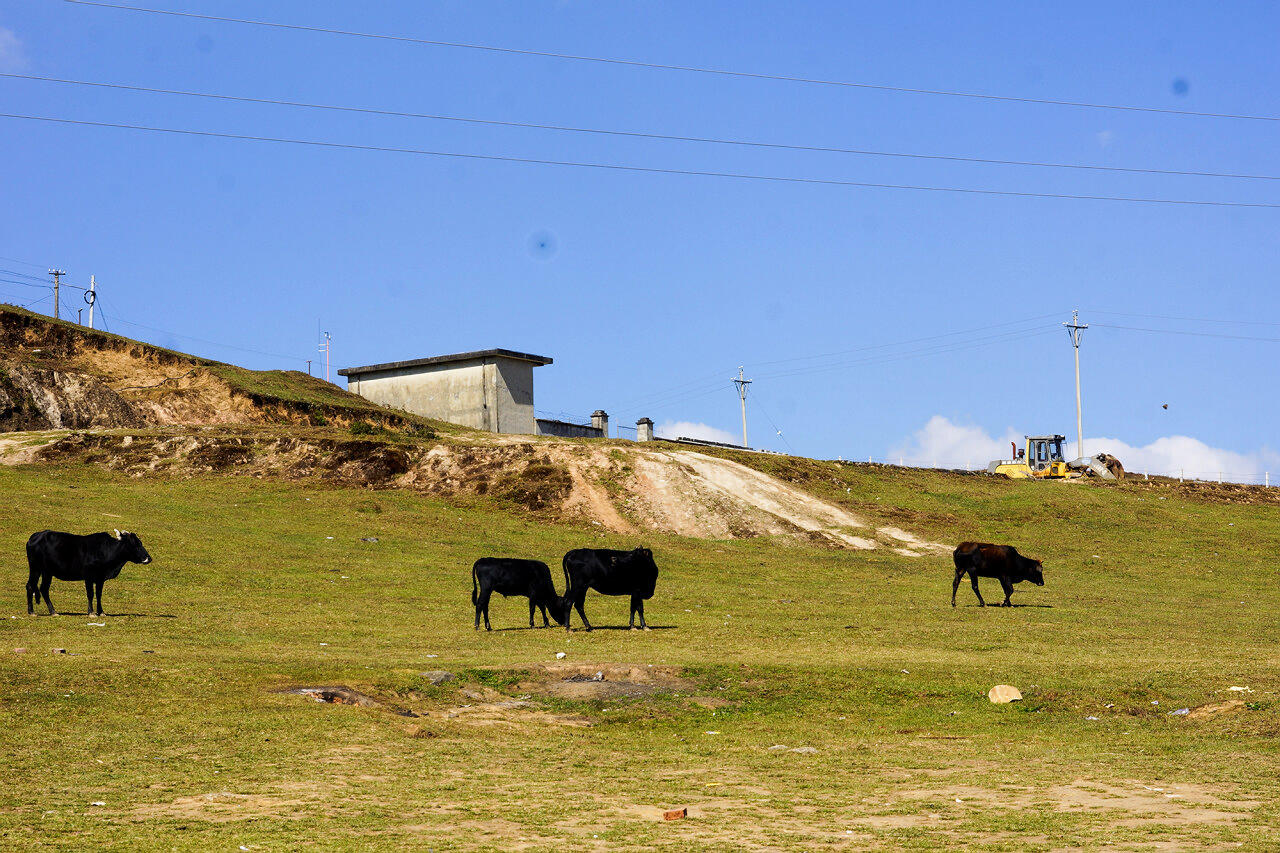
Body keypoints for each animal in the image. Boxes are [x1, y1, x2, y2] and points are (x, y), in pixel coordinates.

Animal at [24, 527, 152, 614]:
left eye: (140, 543)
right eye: (135, 544)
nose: (149, 558)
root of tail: (36, 535)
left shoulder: (100, 578)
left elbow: (99, 594)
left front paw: (101, 612)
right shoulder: (89, 576)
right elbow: (90, 594)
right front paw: (91, 612)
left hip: (47, 572)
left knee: (43, 588)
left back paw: (53, 612)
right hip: (35, 568)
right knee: (31, 586)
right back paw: (32, 612)